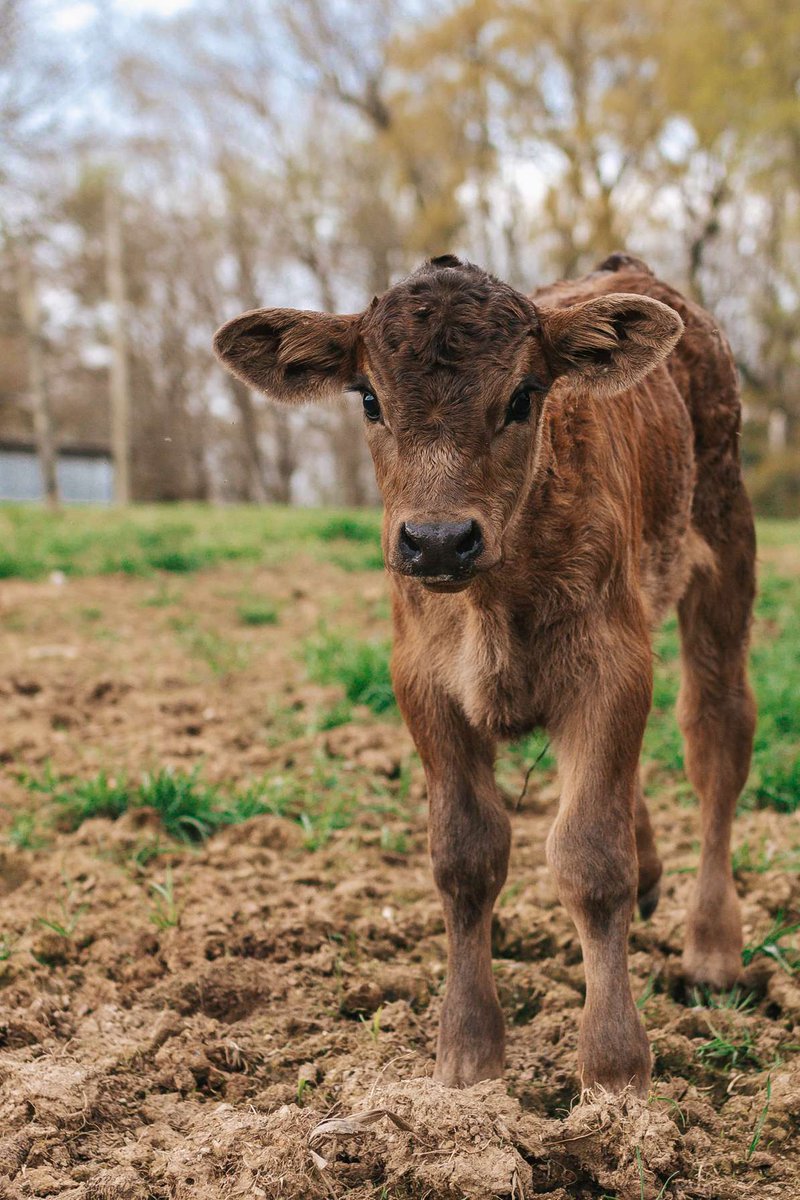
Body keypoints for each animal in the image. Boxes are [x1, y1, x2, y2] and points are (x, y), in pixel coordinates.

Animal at [213, 252, 756, 1097]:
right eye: (369, 397)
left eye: (525, 395)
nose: (439, 540)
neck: (494, 598)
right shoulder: (424, 685)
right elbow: (466, 855)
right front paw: (467, 1058)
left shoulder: (610, 666)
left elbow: (589, 857)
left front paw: (615, 1069)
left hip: (725, 555)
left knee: (716, 743)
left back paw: (712, 949)